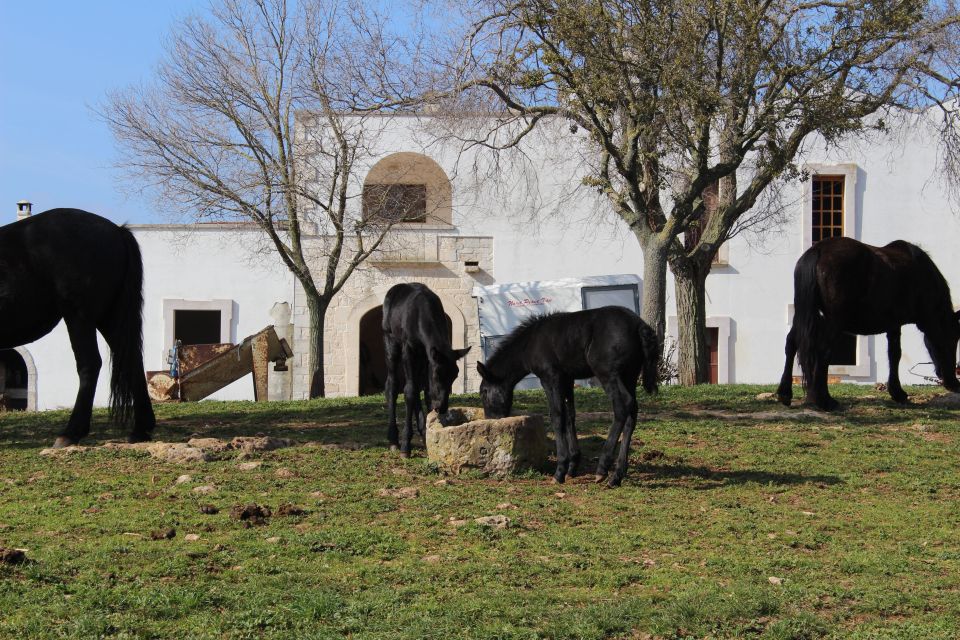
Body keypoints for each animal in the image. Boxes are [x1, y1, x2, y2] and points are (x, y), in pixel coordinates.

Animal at [0, 210, 154, 444]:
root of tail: (116, 231)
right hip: (110, 318)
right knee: (132, 360)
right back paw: (141, 429)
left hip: (79, 316)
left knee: (90, 364)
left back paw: (71, 432)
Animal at [384, 284, 470, 456]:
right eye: (437, 374)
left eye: (455, 375)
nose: (441, 406)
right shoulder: (409, 349)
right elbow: (409, 391)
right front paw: (406, 445)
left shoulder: (426, 356)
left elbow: (427, 392)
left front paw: (431, 435)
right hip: (391, 341)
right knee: (392, 385)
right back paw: (394, 439)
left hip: (420, 359)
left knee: (417, 387)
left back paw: (422, 432)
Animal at [474, 308, 656, 488]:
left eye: (484, 391)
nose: (490, 419)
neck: (530, 342)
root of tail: (639, 325)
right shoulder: (567, 379)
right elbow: (570, 416)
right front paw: (572, 466)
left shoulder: (551, 378)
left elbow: (557, 416)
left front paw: (560, 470)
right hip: (629, 376)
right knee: (632, 411)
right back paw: (617, 475)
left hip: (608, 374)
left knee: (622, 406)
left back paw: (603, 469)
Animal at [776, 236, 960, 410]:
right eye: (953, 339)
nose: (953, 383)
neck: (920, 275)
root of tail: (818, 250)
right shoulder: (896, 323)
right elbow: (896, 354)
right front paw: (898, 392)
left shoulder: (893, 324)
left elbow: (893, 354)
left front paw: (896, 392)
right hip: (833, 321)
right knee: (823, 352)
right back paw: (825, 401)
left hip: (803, 313)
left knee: (791, 344)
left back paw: (785, 394)